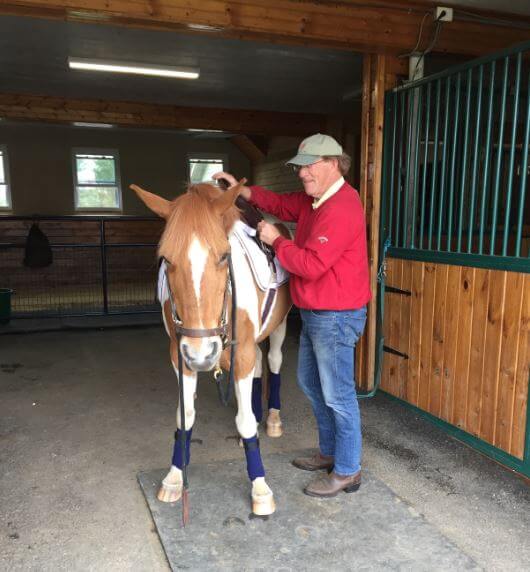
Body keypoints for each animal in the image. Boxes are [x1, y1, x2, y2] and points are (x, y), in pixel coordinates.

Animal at [130, 181, 290, 516]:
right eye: (167, 259)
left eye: (223, 256)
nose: (202, 355)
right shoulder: (180, 356)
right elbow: (185, 415)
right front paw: (175, 476)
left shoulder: (238, 352)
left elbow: (243, 420)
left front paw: (260, 487)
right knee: (259, 364)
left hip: (279, 326)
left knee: (272, 360)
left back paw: (271, 419)